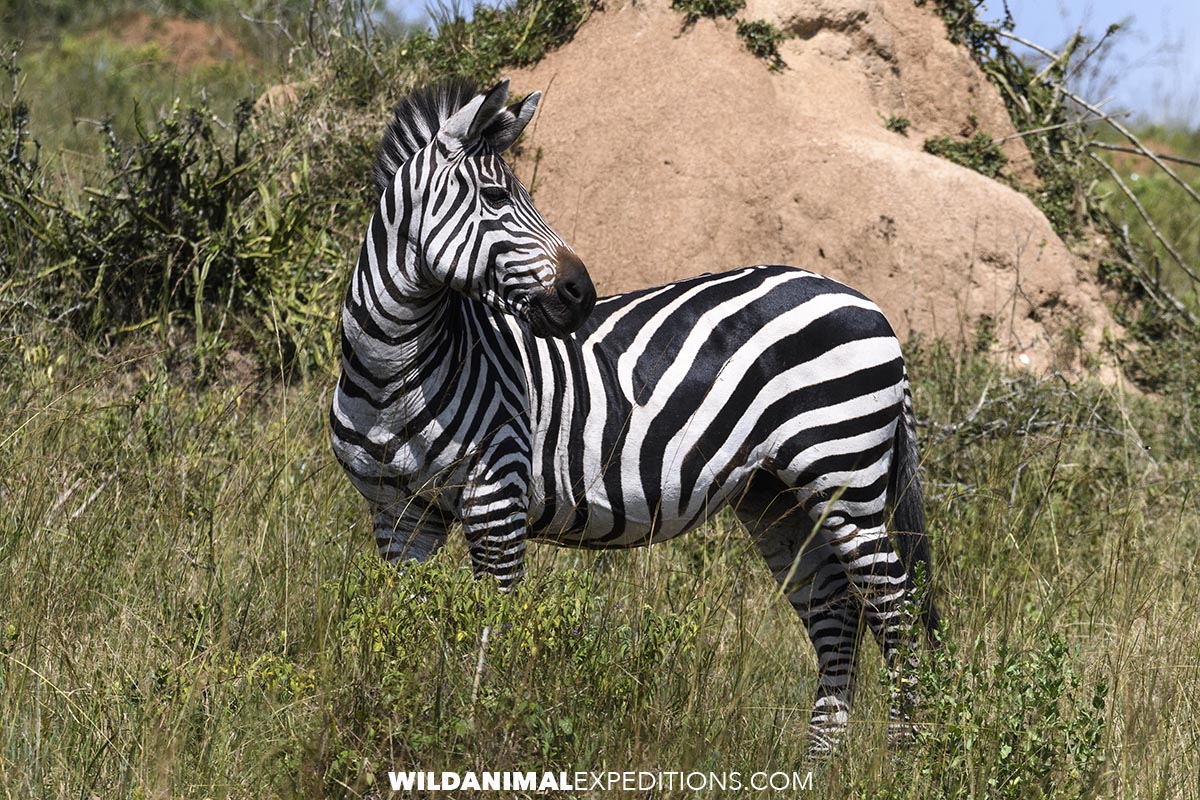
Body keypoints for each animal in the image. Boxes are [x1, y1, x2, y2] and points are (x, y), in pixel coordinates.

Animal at [330, 77, 941, 756]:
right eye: (495, 197)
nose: (582, 294)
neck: (395, 369)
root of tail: (870, 304)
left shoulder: (496, 498)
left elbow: (490, 629)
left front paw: (474, 728)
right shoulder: (397, 516)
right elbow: (402, 624)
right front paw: (396, 721)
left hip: (845, 473)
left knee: (896, 608)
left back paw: (907, 755)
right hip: (776, 494)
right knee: (836, 612)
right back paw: (820, 764)